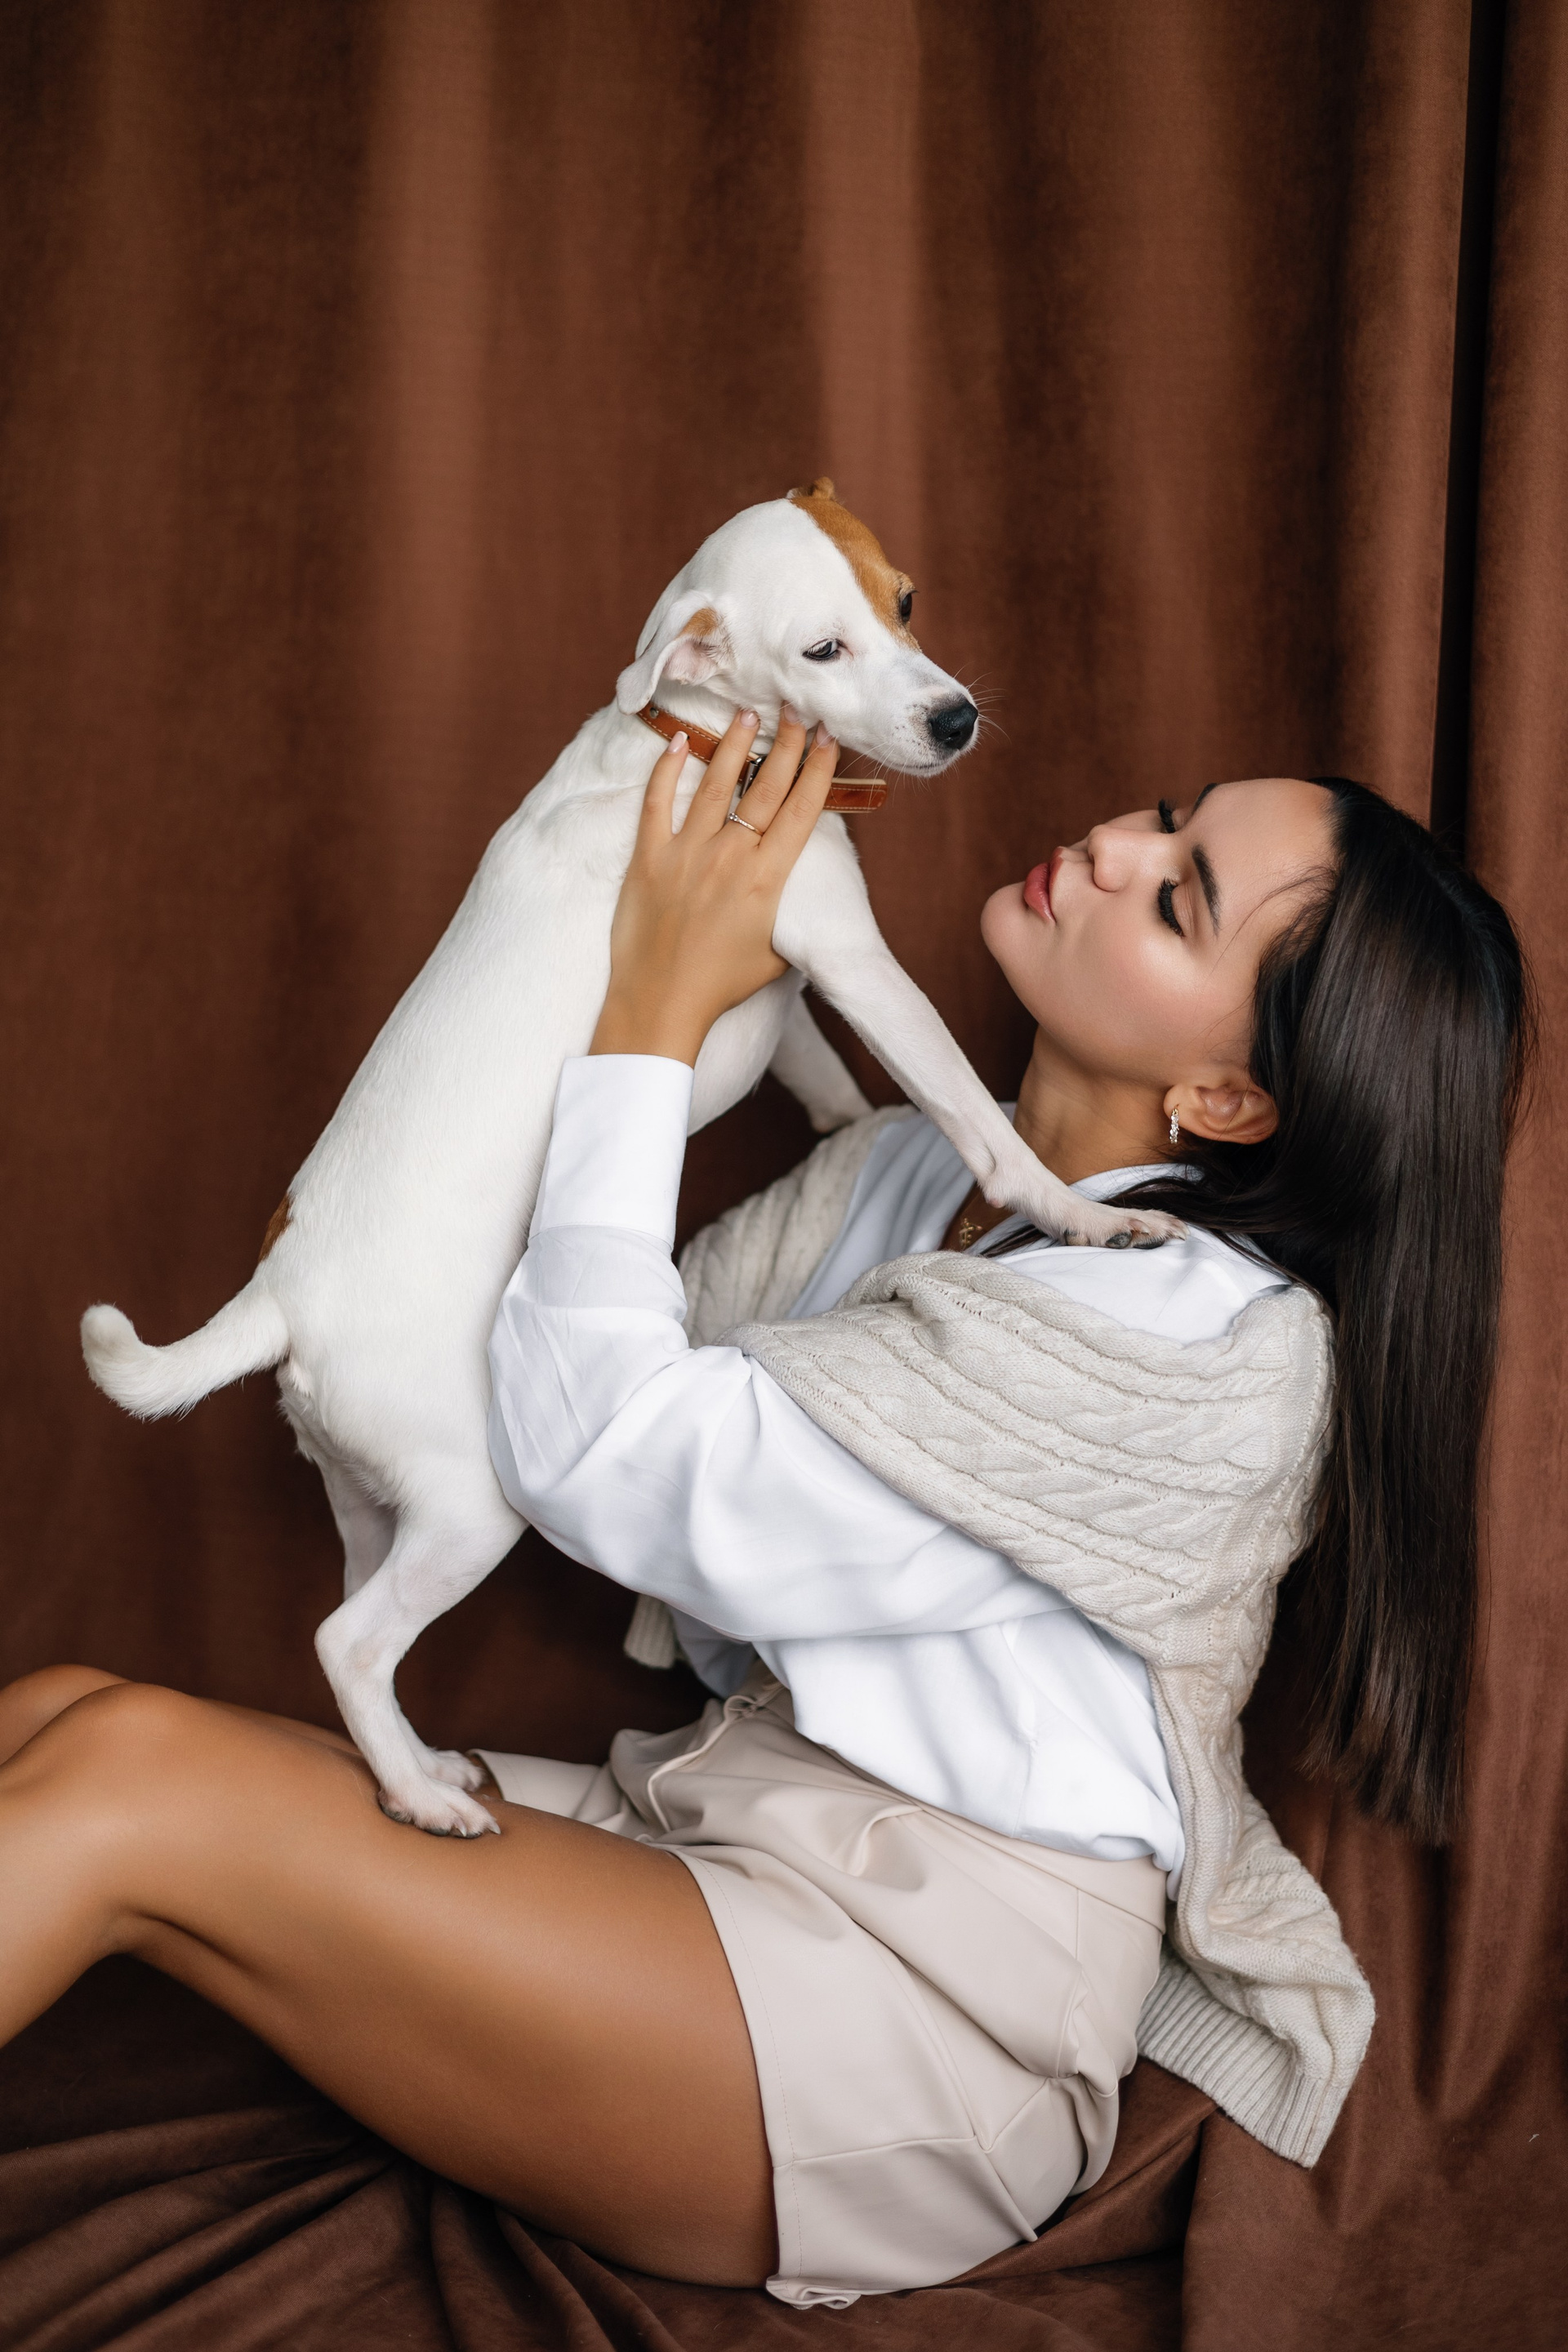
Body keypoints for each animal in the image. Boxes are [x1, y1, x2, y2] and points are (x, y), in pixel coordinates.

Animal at [82, 478, 1177, 1836]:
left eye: (908, 602)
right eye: (824, 650)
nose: (956, 716)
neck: (694, 740)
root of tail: (278, 1295)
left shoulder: (779, 986)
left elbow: (821, 1076)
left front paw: (844, 1132)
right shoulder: (851, 955)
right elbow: (974, 1110)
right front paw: (1078, 1214)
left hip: (369, 1496)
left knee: (356, 1624)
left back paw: (413, 1768)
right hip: (472, 1500)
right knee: (349, 1641)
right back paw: (426, 1797)